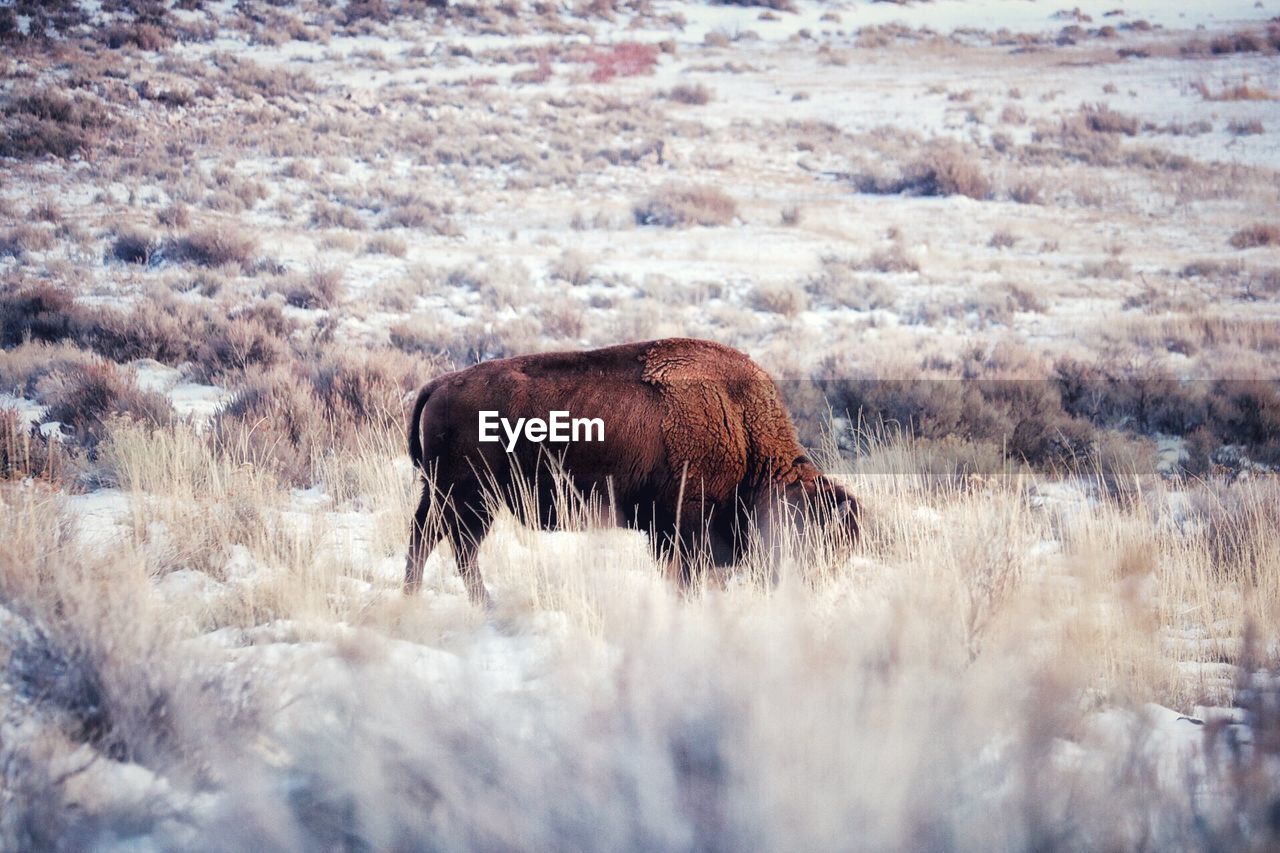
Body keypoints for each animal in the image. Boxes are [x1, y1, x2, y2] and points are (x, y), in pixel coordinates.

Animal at [399, 335, 860, 601]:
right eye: (816, 538)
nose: (813, 590)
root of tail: (439, 384)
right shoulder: (682, 529)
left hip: (447, 494)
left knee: (429, 538)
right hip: (469, 496)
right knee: (454, 545)